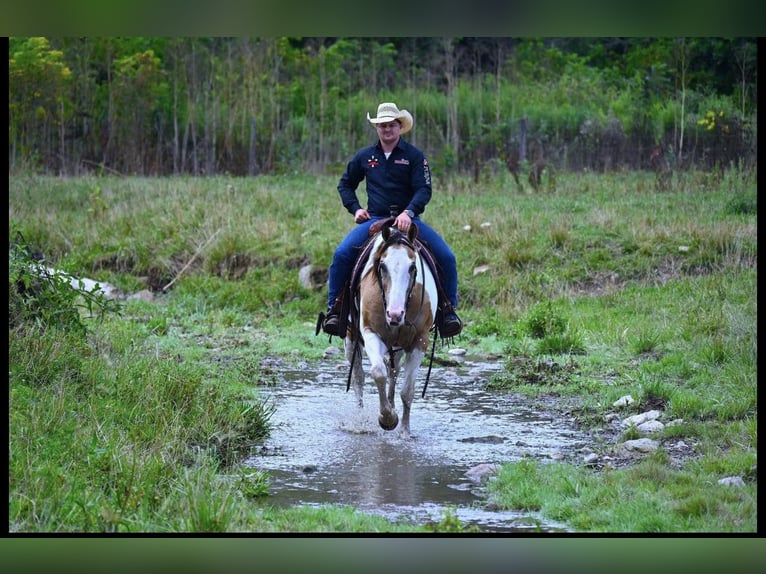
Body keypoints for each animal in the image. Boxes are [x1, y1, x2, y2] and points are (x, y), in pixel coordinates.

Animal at [346, 223, 438, 438]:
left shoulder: (420, 341)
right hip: (351, 337)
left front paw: (404, 431)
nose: (395, 314)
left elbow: (408, 390)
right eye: (382, 266)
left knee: (393, 372)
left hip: (397, 347)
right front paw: (387, 419)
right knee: (358, 379)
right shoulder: (370, 333)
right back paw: (360, 420)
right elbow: (378, 372)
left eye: (412, 267)